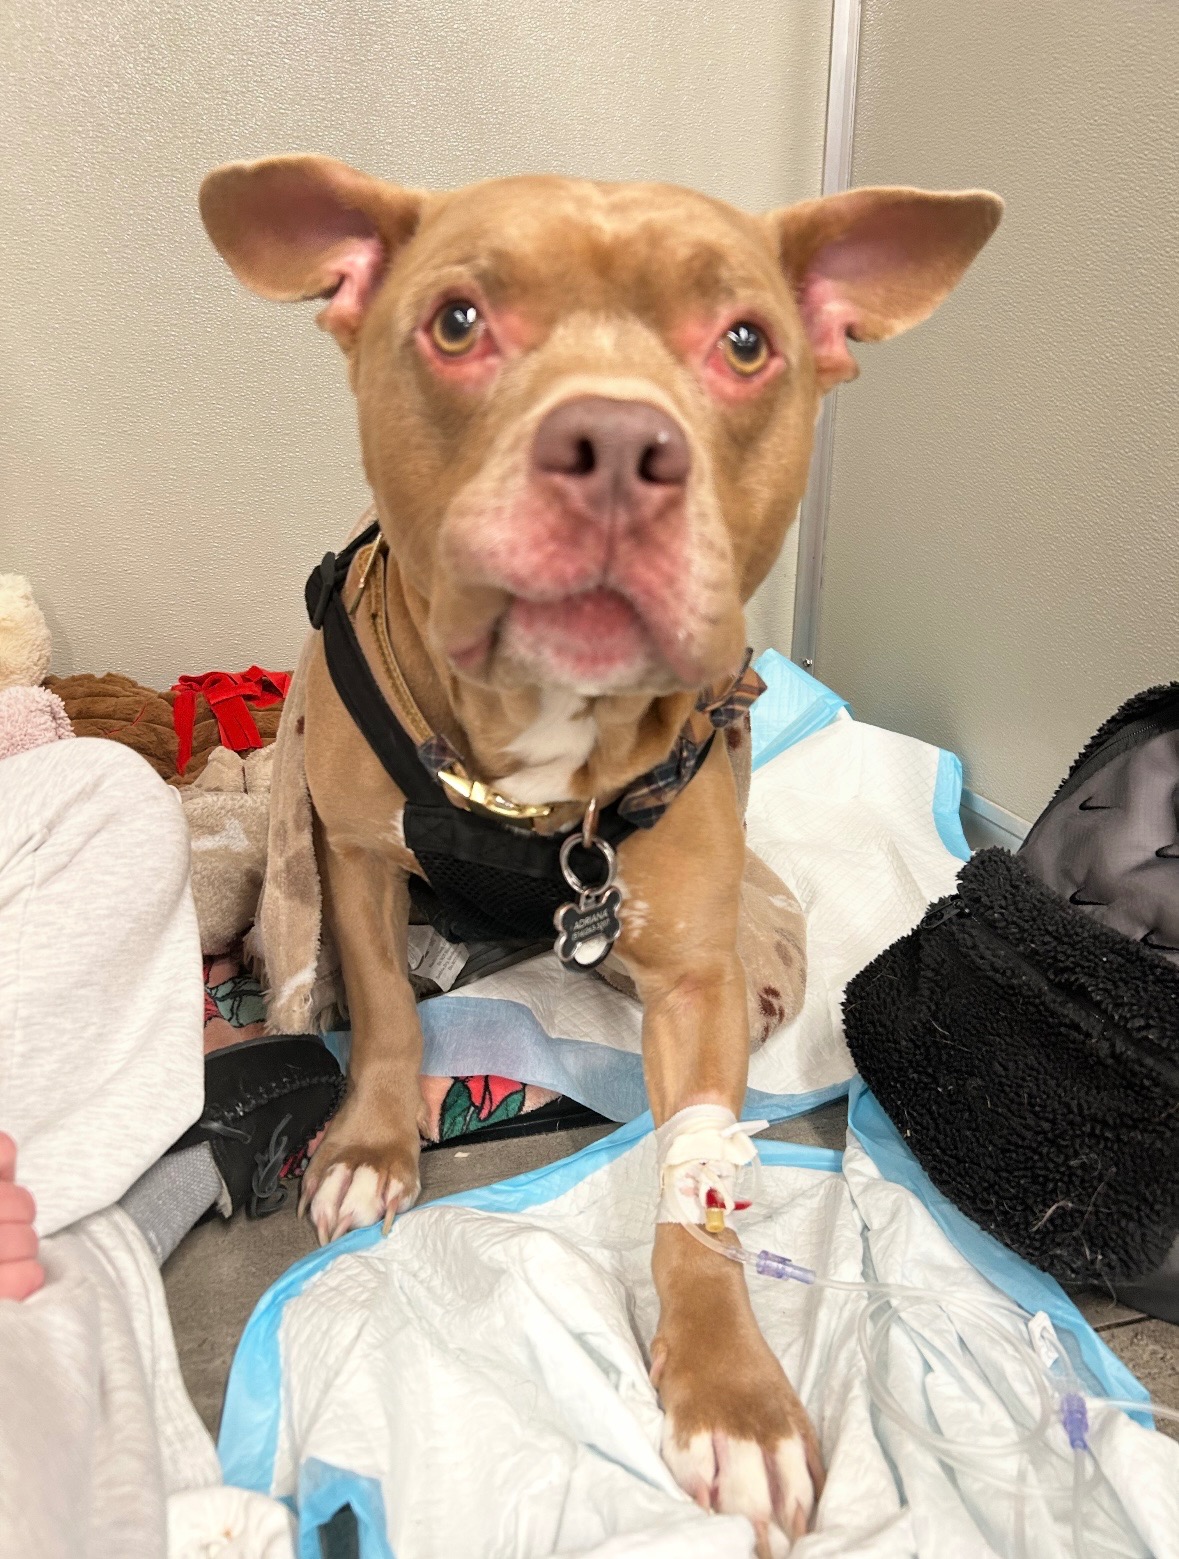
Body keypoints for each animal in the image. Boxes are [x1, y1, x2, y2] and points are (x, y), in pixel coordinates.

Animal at [200, 157, 1000, 1552]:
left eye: (746, 342)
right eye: (457, 320)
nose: (619, 447)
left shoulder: (693, 978)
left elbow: (703, 1183)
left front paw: (732, 1392)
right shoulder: (353, 855)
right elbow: (391, 1015)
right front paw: (369, 1146)